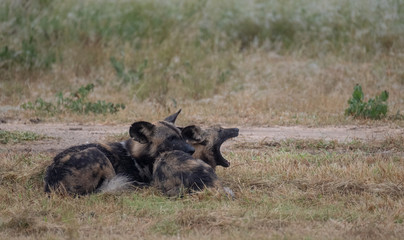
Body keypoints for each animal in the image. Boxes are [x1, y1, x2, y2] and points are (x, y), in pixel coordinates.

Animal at [43, 110, 196, 195]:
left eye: (182, 136)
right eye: (171, 139)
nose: (192, 150)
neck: (139, 157)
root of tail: (53, 183)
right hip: (98, 155)